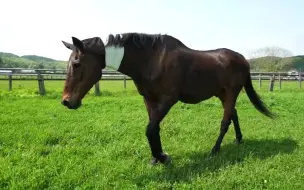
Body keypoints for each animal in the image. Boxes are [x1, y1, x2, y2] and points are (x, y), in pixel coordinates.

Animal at [60, 33, 274, 166]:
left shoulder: (168, 100)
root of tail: (243, 60)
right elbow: (153, 128)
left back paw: (214, 150)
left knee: (225, 121)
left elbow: (150, 129)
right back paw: (238, 139)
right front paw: (157, 157)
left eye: (77, 64)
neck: (152, 60)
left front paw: (163, 158)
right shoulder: (149, 100)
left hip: (231, 92)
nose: (66, 101)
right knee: (233, 115)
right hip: (222, 94)